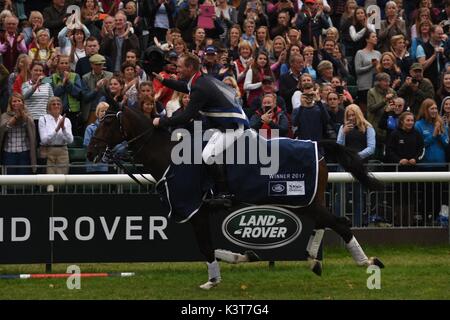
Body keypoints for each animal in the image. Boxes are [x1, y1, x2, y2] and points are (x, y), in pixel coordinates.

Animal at [87, 107, 384, 290]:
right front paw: (244, 256)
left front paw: (212, 281)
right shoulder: (198, 214)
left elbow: (205, 248)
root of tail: (317, 144)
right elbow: (208, 248)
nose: (91, 151)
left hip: (304, 199)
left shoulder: (196, 212)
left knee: (340, 222)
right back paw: (314, 259)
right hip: (304, 201)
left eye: (108, 121)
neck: (169, 156)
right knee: (326, 223)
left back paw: (367, 262)